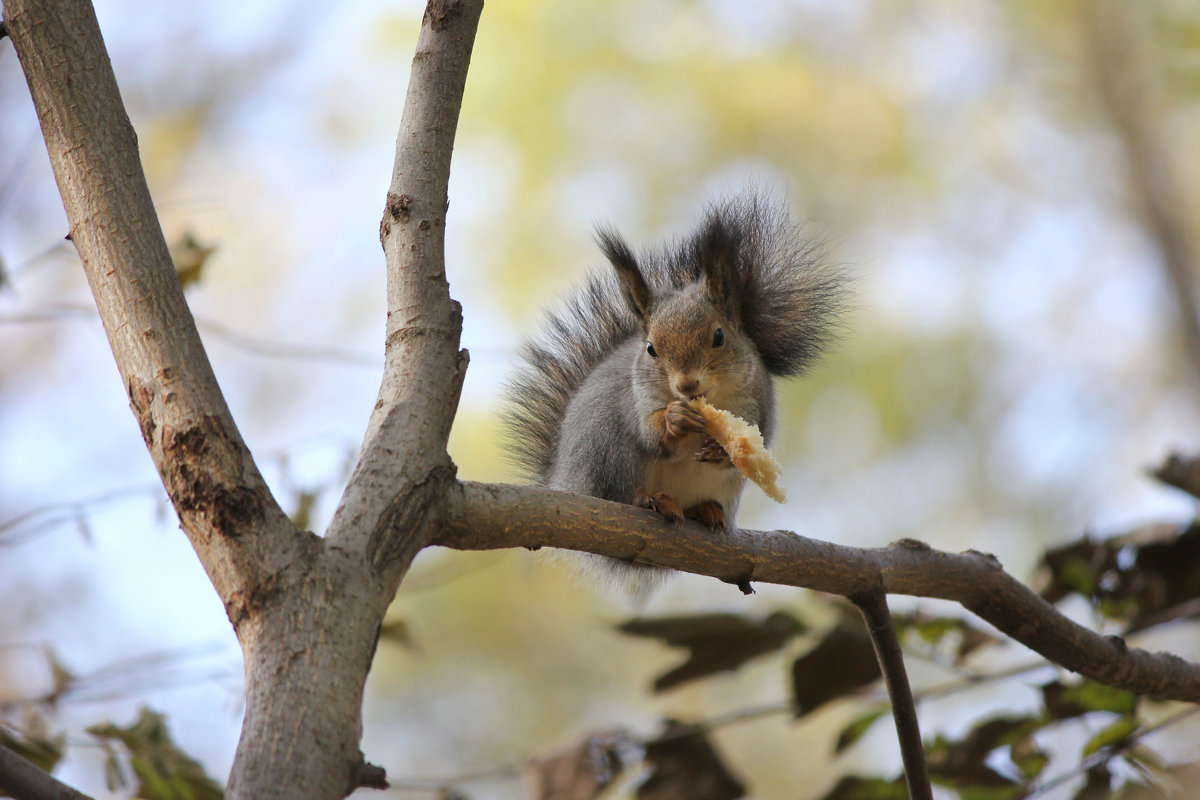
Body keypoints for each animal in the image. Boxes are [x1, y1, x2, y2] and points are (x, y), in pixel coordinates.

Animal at [501, 191, 849, 585]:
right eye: (651, 348)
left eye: (719, 336)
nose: (685, 385)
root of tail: (566, 480)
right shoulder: (637, 397)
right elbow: (651, 433)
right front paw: (675, 418)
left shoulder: (757, 399)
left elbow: (755, 431)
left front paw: (724, 448)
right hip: (607, 451)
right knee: (622, 489)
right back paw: (649, 500)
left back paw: (705, 510)